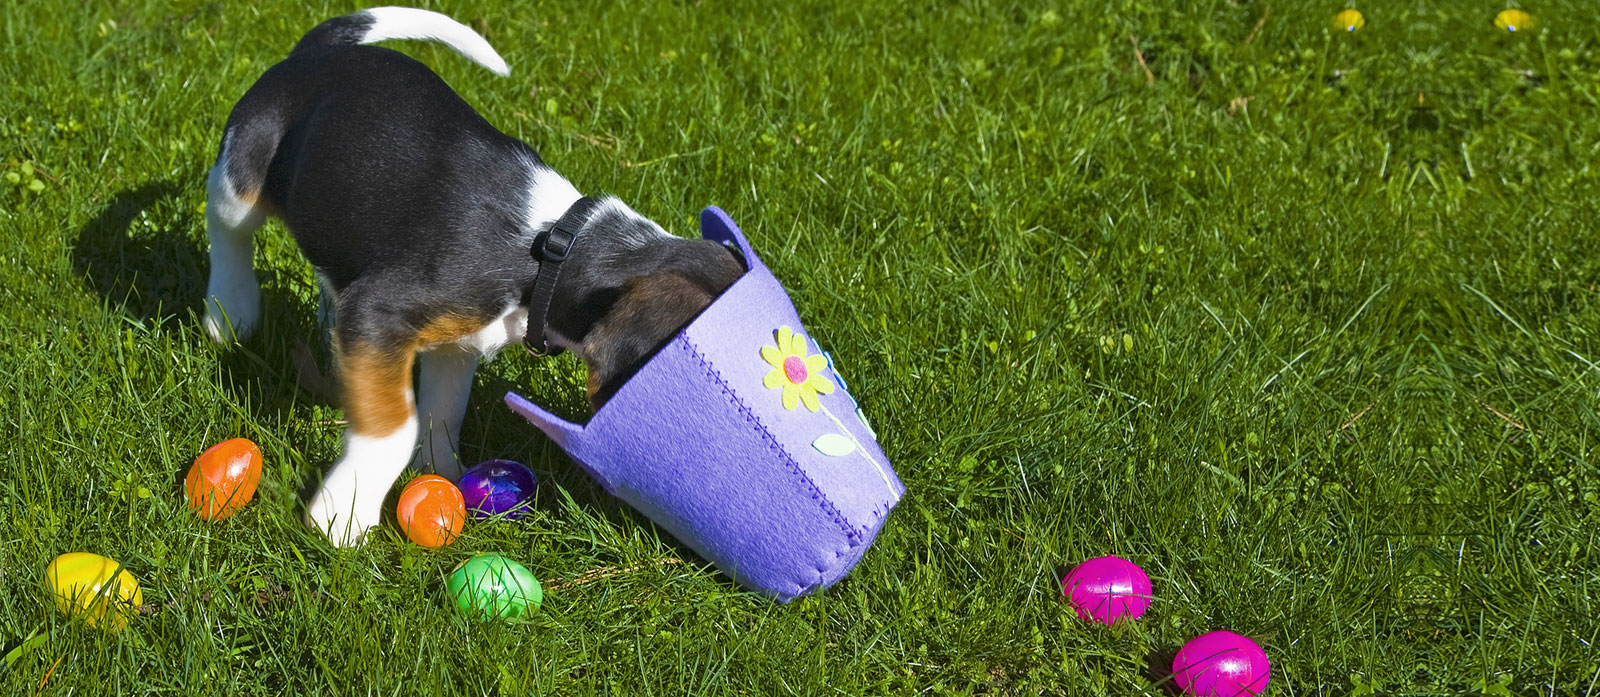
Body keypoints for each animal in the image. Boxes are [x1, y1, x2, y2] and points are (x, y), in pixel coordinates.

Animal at [203, 8, 745, 546]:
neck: (556, 249)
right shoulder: (380, 312)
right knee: (228, 232)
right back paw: (230, 313)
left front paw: (440, 473)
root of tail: (320, 51)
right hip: (243, 173)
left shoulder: (454, 346)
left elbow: (442, 413)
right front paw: (342, 516)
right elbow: (394, 430)